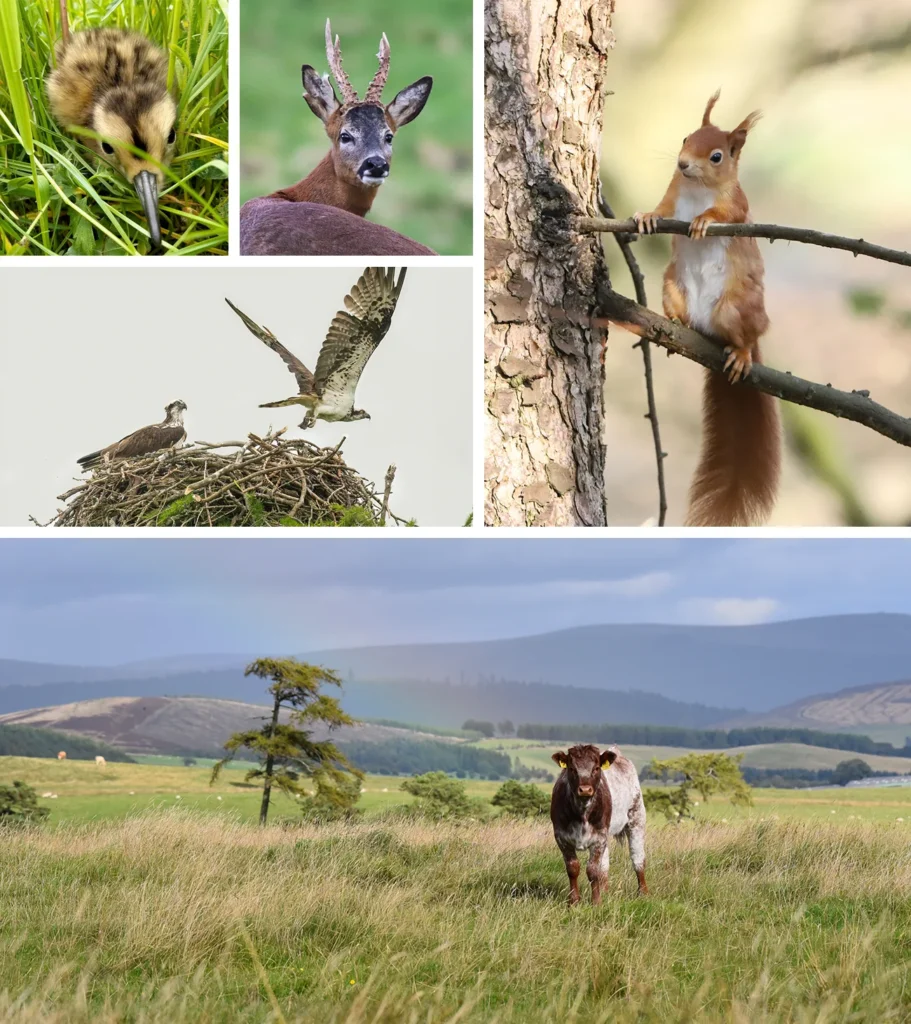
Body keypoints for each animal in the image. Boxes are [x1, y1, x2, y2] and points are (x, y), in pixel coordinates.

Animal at [632, 90, 781, 526]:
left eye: (717, 156)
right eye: (685, 137)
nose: (683, 164)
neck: (697, 188)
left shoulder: (738, 205)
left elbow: (726, 214)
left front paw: (702, 220)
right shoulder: (673, 193)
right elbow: (662, 208)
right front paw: (646, 216)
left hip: (735, 310)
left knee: (746, 336)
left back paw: (742, 354)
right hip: (672, 286)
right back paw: (673, 323)